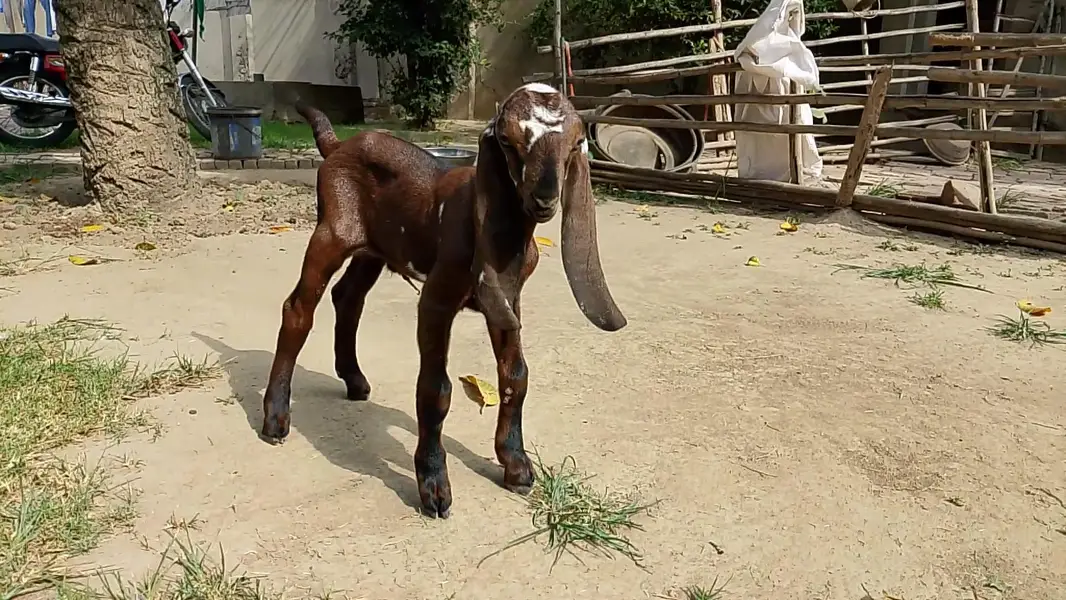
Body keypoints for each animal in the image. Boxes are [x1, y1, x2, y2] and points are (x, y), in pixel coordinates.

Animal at [261, 83, 627, 518]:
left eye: (574, 143)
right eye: (507, 140)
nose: (544, 199)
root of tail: (337, 146)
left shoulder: (507, 300)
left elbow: (515, 376)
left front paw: (516, 464)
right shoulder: (437, 300)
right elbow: (435, 390)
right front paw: (434, 484)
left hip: (376, 249)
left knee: (347, 297)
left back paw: (353, 379)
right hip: (332, 233)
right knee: (298, 308)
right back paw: (276, 417)